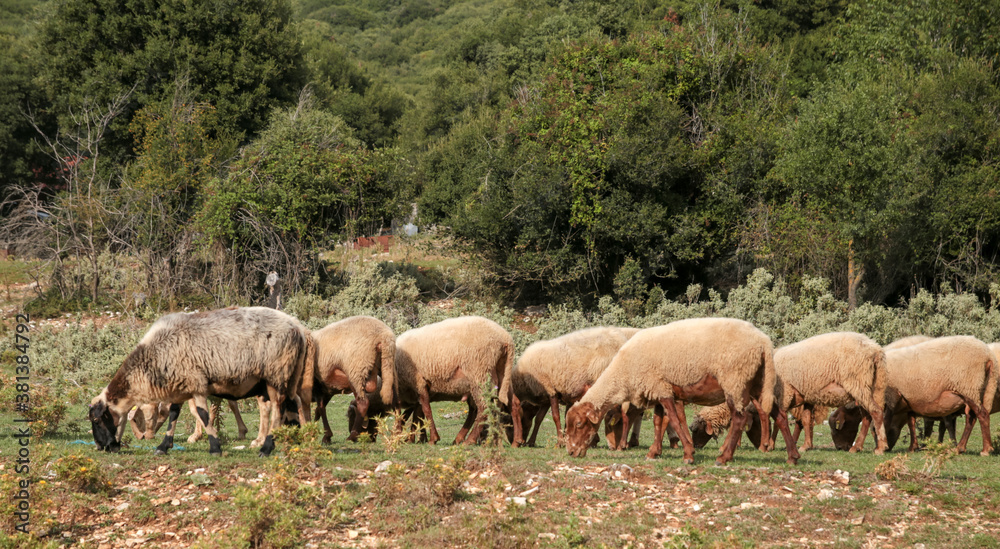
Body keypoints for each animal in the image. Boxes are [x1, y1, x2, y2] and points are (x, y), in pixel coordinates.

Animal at [90, 306, 316, 456]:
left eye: (97, 420)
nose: (101, 447)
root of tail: (298, 327)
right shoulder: (181, 385)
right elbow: (174, 415)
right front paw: (164, 446)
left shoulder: (197, 384)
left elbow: (203, 414)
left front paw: (215, 447)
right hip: (288, 377)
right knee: (292, 404)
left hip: (276, 375)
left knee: (278, 409)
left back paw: (267, 447)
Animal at [310, 314, 396, 444]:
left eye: (350, 414)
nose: (372, 439)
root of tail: (383, 335)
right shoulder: (326, 390)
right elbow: (319, 409)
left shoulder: (318, 388)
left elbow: (320, 409)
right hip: (387, 366)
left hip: (356, 372)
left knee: (363, 403)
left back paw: (352, 436)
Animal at [508, 326, 640, 446]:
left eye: (511, 418)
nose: (514, 442)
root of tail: (620, 338)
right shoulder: (547, 395)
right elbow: (539, 419)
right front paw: (531, 441)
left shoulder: (551, 390)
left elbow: (556, 417)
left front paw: (560, 442)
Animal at [564, 316, 804, 462]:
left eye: (579, 424)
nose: (572, 451)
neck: (624, 373)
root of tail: (764, 342)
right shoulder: (658, 388)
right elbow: (658, 422)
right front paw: (654, 452)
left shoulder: (662, 389)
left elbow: (673, 419)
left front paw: (688, 454)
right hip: (758, 382)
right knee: (779, 415)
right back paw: (792, 456)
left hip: (734, 379)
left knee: (739, 417)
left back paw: (724, 457)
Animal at [824, 334, 996, 454]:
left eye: (839, 427)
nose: (839, 447)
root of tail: (988, 354)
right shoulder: (908, 400)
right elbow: (911, 422)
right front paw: (913, 447)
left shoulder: (890, 399)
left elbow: (882, 421)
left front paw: (880, 447)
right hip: (971, 391)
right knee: (971, 418)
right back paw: (960, 447)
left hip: (969, 388)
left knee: (982, 414)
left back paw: (986, 449)